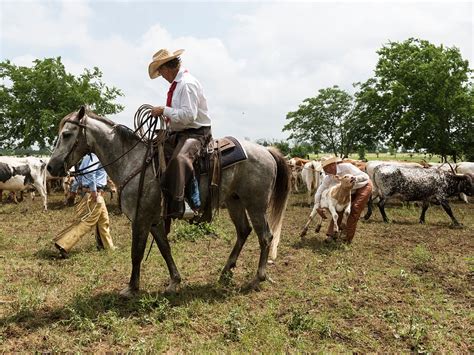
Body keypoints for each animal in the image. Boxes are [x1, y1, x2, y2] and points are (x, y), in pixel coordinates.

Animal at [47, 107, 288, 296]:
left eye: (67, 134)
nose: (51, 167)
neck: (132, 161)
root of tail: (267, 151)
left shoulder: (141, 218)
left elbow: (136, 252)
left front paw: (131, 288)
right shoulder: (153, 220)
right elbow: (164, 248)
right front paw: (174, 281)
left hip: (256, 204)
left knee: (265, 236)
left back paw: (258, 278)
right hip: (235, 201)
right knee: (243, 231)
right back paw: (225, 272)